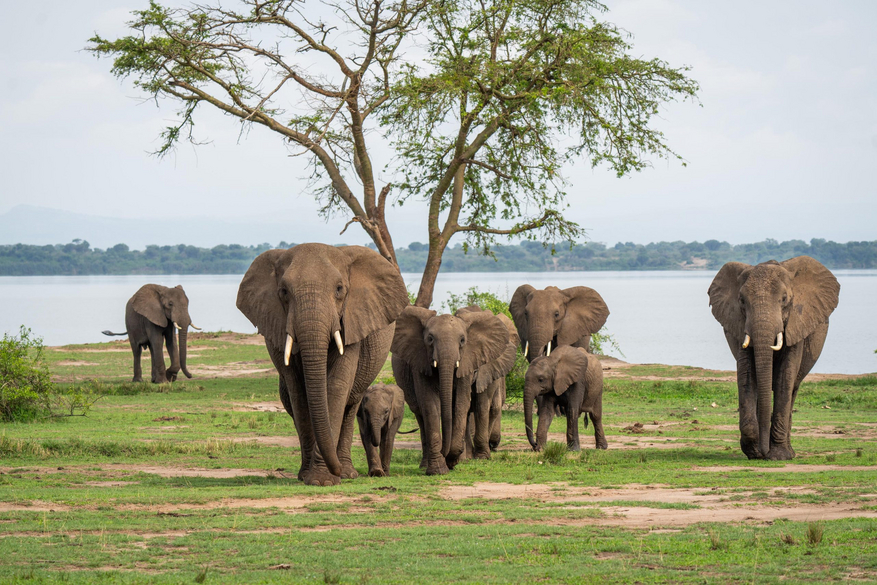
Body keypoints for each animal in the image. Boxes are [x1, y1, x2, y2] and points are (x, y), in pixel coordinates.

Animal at [236, 242, 408, 484]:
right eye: (283, 292)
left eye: (339, 289)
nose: (335, 469)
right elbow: (299, 392)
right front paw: (314, 478)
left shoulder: (351, 321)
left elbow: (336, 387)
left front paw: (325, 480)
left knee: (350, 406)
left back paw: (347, 472)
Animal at [390, 308, 506, 472]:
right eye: (430, 339)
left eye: (462, 340)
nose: (444, 453)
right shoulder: (420, 362)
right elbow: (430, 405)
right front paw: (438, 470)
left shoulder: (467, 362)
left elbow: (460, 405)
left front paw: (452, 461)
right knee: (420, 414)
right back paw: (425, 465)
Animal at [708, 258, 840, 458]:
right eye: (742, 301)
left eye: (784, 299)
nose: (764, 452)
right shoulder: (739, 325)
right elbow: (747, 376)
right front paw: (754, 452)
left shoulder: (797, 323)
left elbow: (784, 379)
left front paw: (778, 456)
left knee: (792, 390)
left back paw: (790, 452)